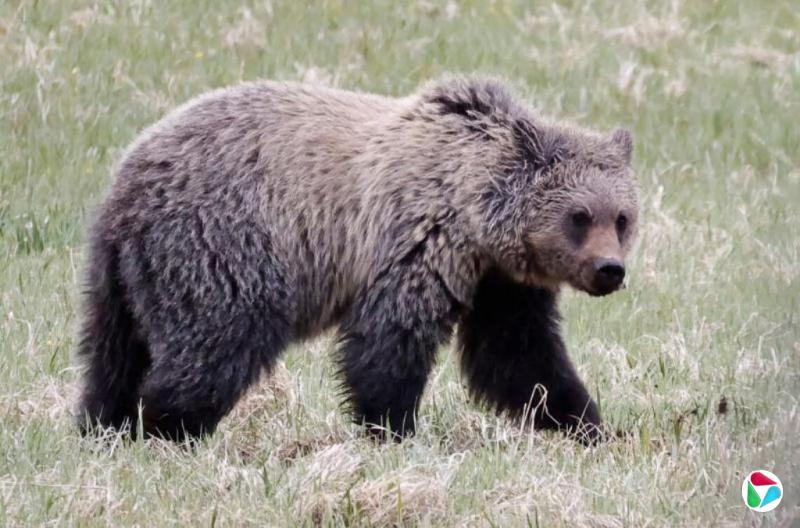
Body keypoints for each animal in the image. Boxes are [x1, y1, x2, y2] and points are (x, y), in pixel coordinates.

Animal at [76, 76, 638, 443]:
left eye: (622, 218)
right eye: (580, 217)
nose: (610, 270)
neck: (478, 216)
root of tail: (128, 182)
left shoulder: (500, 283)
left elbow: (518, 356)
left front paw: (588, 423)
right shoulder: (417, 243)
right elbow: (390, 341)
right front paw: (393, 427)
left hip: (122, 274)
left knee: (113, 353)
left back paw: (104, 423)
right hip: (223, 243)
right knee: (217, 341)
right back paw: (167, 425)